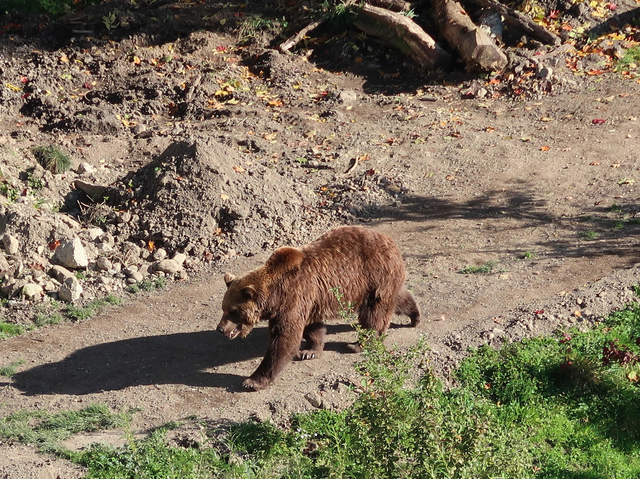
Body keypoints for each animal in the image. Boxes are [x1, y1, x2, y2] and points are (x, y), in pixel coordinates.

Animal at [218, 225, 422, 390]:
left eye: (233, 311)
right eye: (223, 308)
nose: (220, 328)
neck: (275, 295)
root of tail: (391, 241)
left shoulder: (293, 298)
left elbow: (284, 339)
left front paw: (252, 381)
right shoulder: (307, 301)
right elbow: (312, 327)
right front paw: (310, 351)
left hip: (374, 276)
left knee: (374, 313)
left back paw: (358, 344)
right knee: (396, 298)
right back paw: (415, 316)